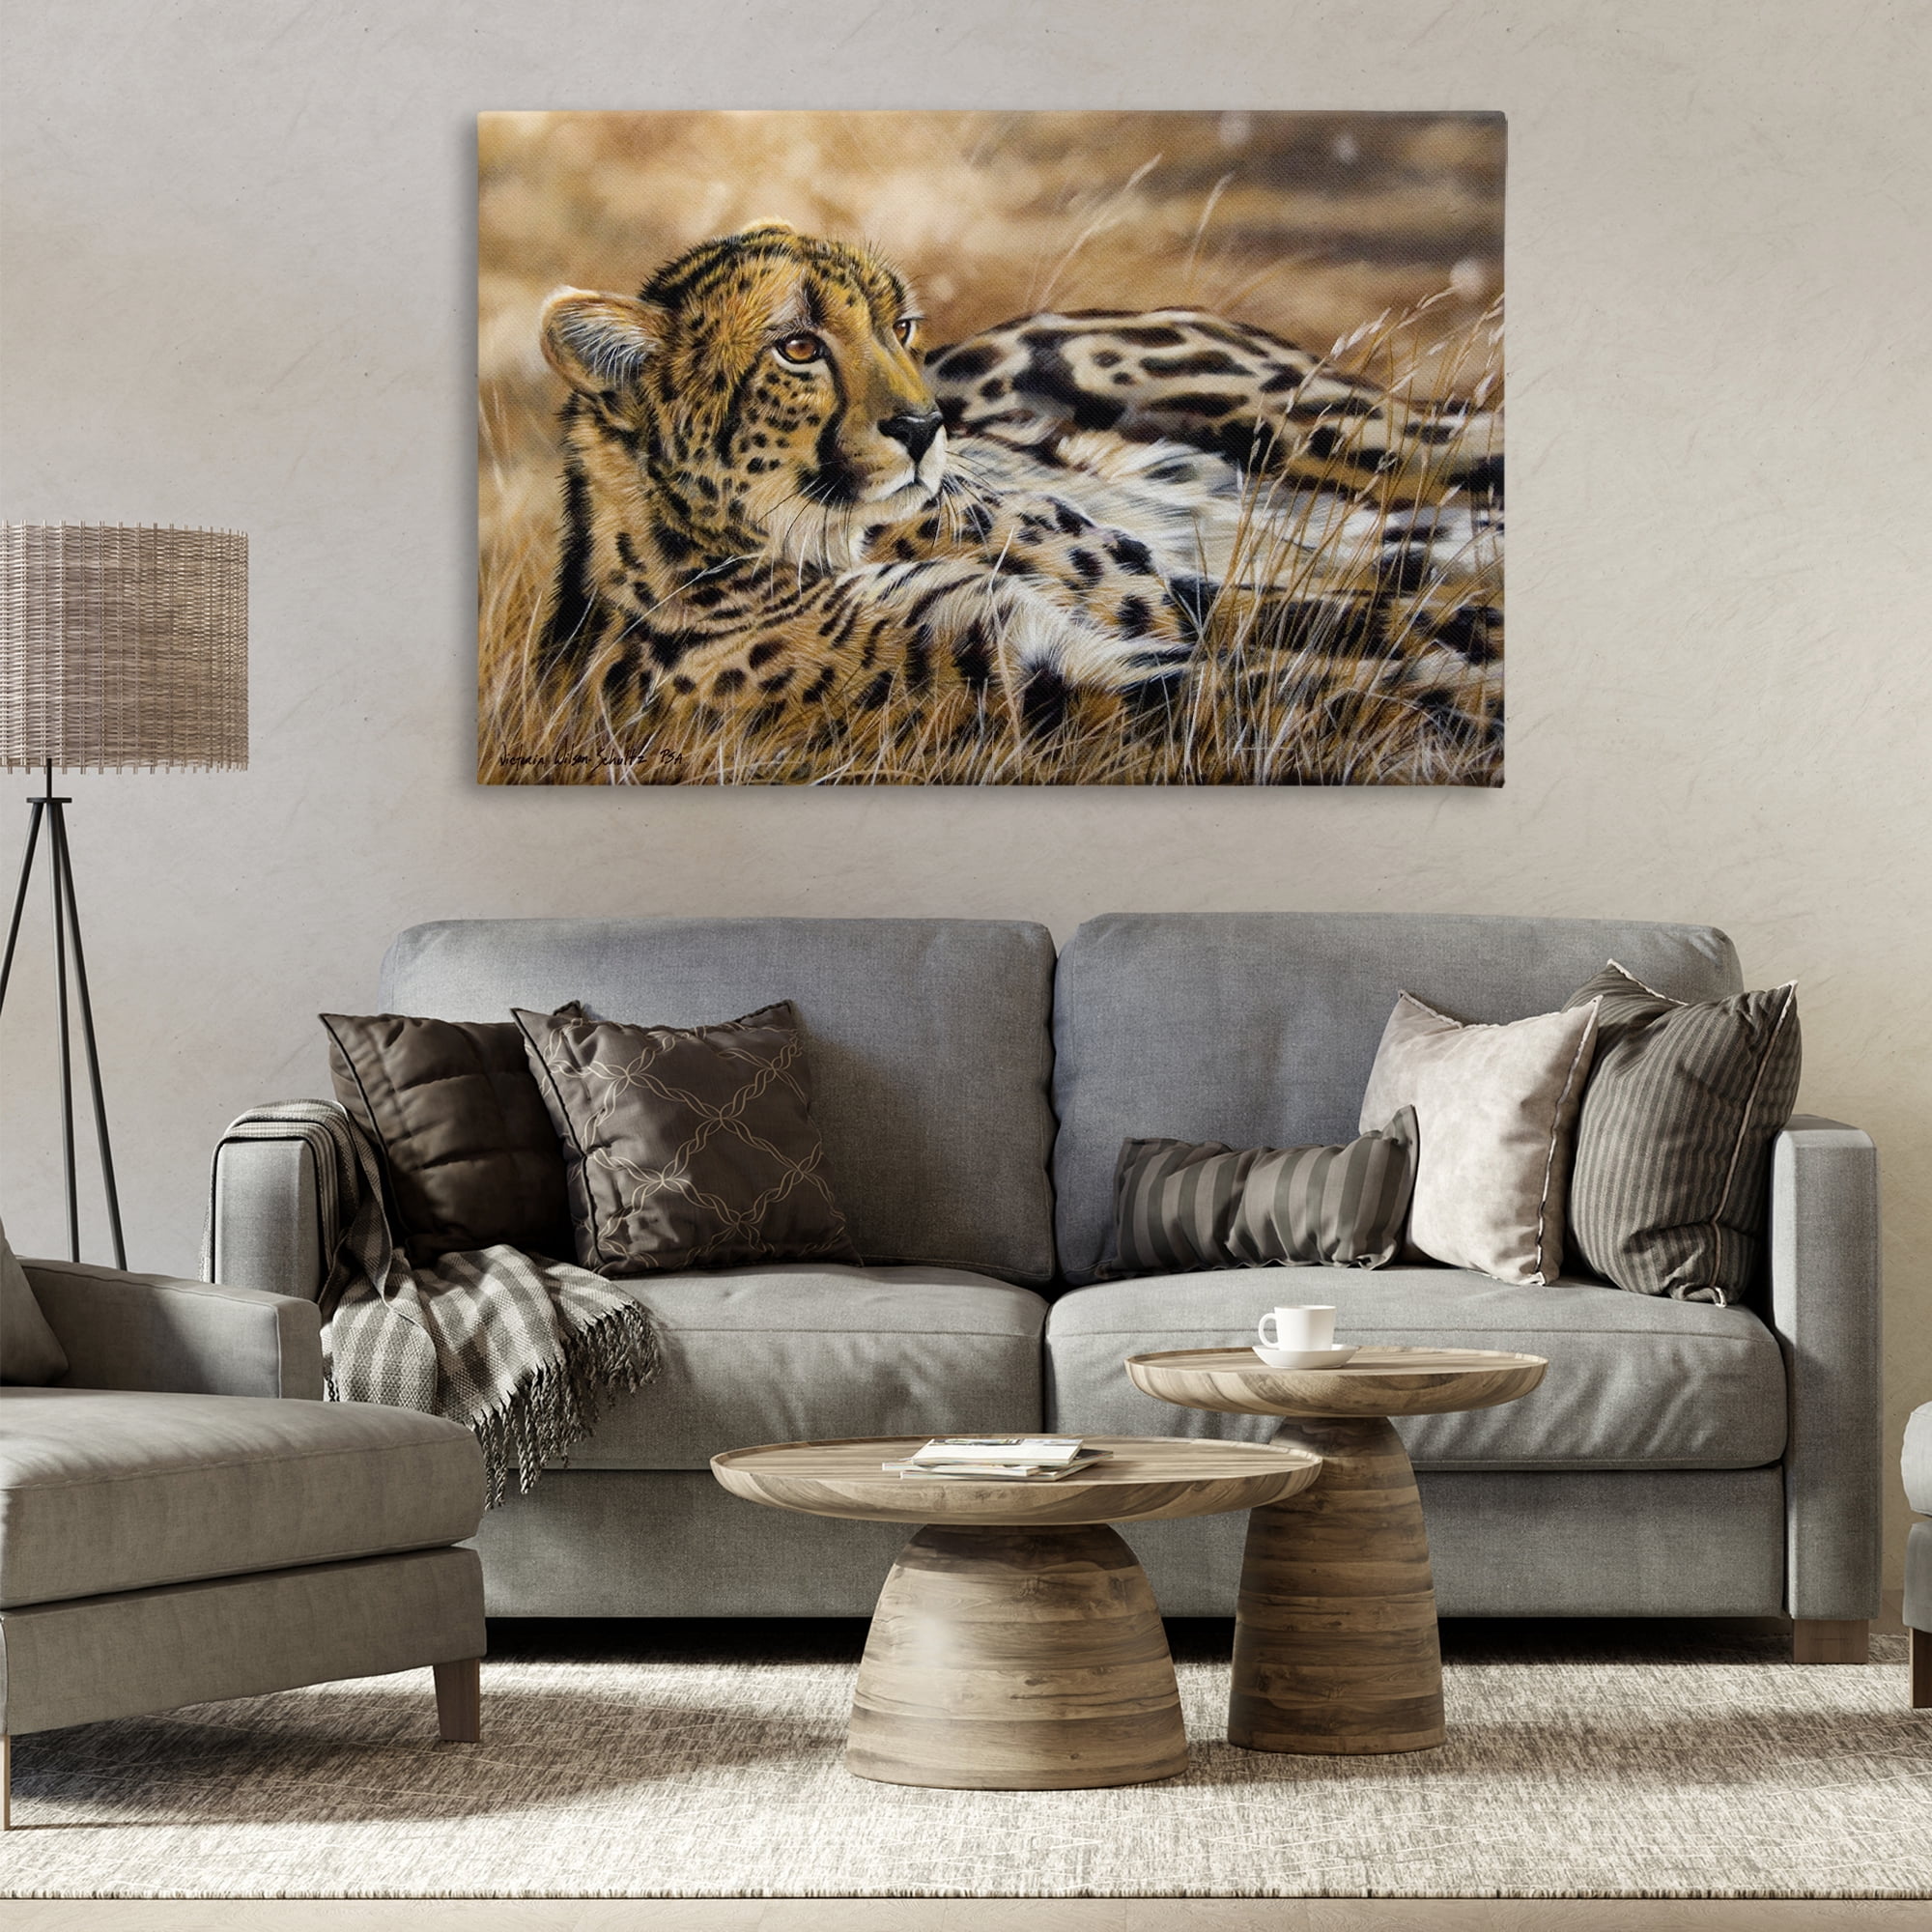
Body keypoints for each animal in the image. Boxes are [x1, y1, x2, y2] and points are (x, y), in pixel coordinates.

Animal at [531, 221, 1502, 780]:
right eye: (798, 347)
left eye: (900, 327)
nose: (926, 424)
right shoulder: (1057, 678)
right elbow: (1325, 682)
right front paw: (1468, 701)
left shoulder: (1149, 599)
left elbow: (1361, 630)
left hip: (1331, 428)